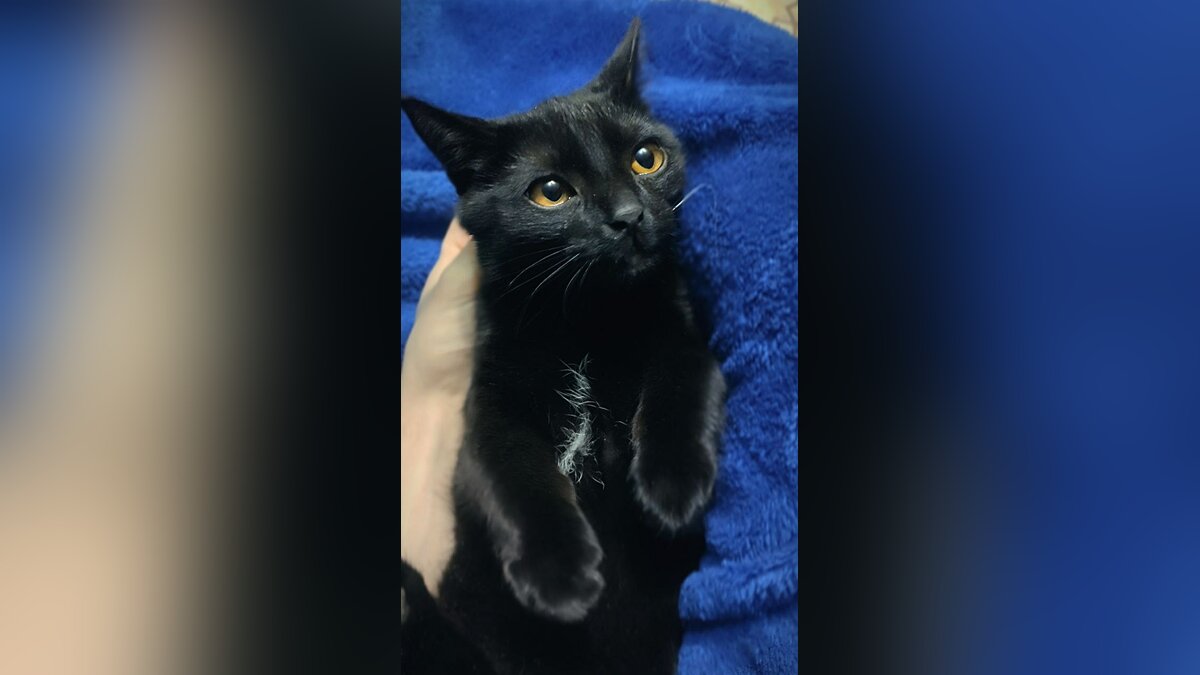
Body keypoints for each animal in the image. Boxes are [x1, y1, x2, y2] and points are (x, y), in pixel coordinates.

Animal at [400, 18, 726, 674]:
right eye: (551, 191)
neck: (584, 320)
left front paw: (672, 488)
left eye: (646, 158)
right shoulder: (488, 404)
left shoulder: (684, 335)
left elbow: (681, 381)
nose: (629, 216)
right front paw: (558, 575)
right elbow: (514, 473)